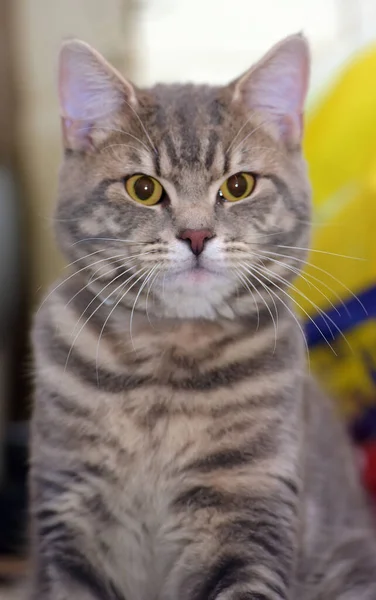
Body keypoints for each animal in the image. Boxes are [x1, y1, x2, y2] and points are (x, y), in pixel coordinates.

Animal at [30, 34, 376, 600]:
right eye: (143, 188)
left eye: (238, 186)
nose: (196, 235)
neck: (165, 362)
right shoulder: (68, 506)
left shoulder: (247, 503)